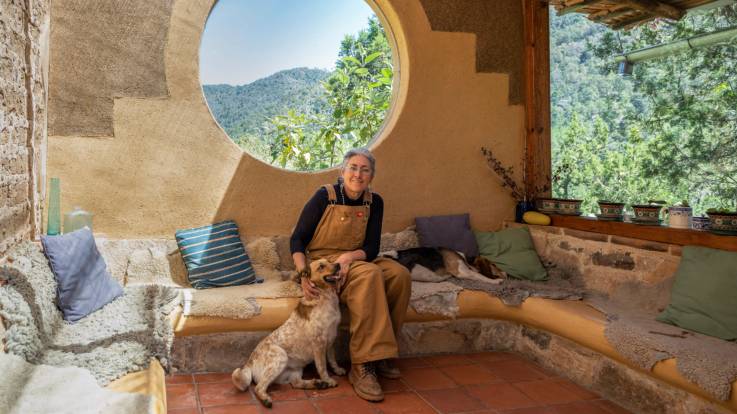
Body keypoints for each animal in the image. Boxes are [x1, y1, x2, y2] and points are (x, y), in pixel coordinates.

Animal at [230, 258, 344, 408]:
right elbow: (322, 366)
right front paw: (328, 379)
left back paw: (317, 384)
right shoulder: (319, 343)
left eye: (330, 261)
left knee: (295, 383)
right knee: (258, 387)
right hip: (280, 357)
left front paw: (337, 371)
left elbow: (332, 359)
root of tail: (249, 363)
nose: (338, 265)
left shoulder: (332, 339)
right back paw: (266, 400)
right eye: (321, 266)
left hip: (295, 370)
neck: (326, 297)